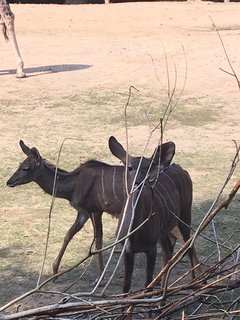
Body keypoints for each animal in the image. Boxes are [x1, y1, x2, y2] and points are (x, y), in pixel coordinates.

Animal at [6, 138, 172, 282]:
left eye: (26, 168)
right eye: (19, 164)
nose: (9, 182)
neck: (73, 186)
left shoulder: (96, 210)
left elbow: (98, 240)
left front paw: (100, 277)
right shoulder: (83, 212)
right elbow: (69, 234)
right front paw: (54, 272)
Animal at [110, 138, 202, 292]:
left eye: (148, 168)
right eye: (130, 167)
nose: (139, 182)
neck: (134, 234)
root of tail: (182, 169)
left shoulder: (151, 247)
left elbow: (147, 283)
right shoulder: (126, 249)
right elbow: (126, 286)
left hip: (184, 214)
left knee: (188, 244)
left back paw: (194, 285)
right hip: (164, 230)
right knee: (168, 252)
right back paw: (162, 290)